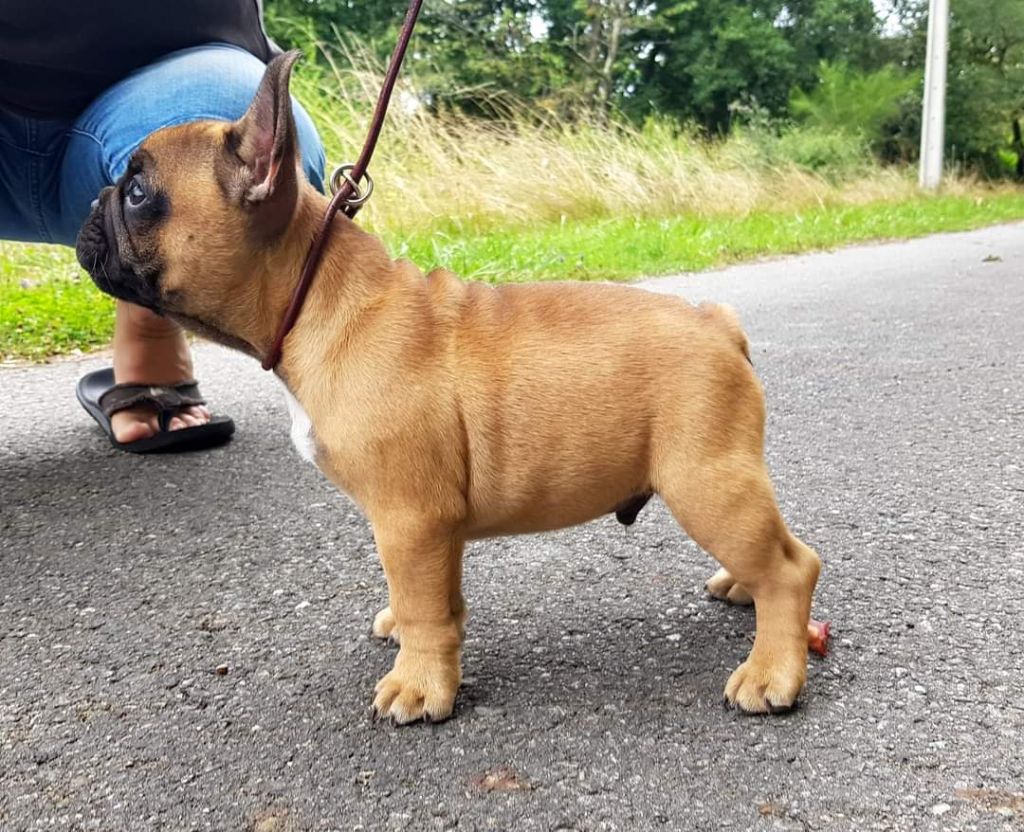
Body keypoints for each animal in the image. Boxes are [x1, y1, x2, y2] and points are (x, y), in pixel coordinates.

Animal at [75, 52, 819, 721]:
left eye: (138, 193)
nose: (93, 200)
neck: (316, 299)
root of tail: (716, 322)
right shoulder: (426, 529)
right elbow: (430, 600)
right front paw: (413, 642)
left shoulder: (411, 518)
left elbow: (425, 607)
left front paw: (418, 685)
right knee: (774, 554)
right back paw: (742, 590)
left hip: (703, 479)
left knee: (791, 568)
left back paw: (771, 672)